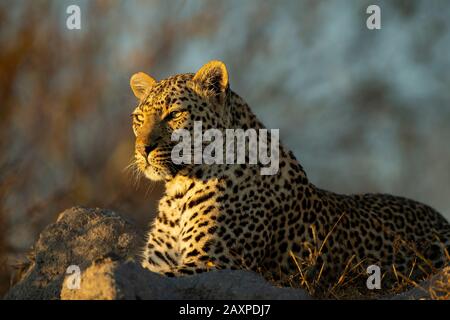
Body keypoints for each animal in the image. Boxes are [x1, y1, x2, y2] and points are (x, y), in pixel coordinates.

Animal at [129, 60, 450, 292]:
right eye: (138, 119)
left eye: (174, 115)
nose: (143, 149)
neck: (179, 189)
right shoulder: (157, 263)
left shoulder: (214, 263)